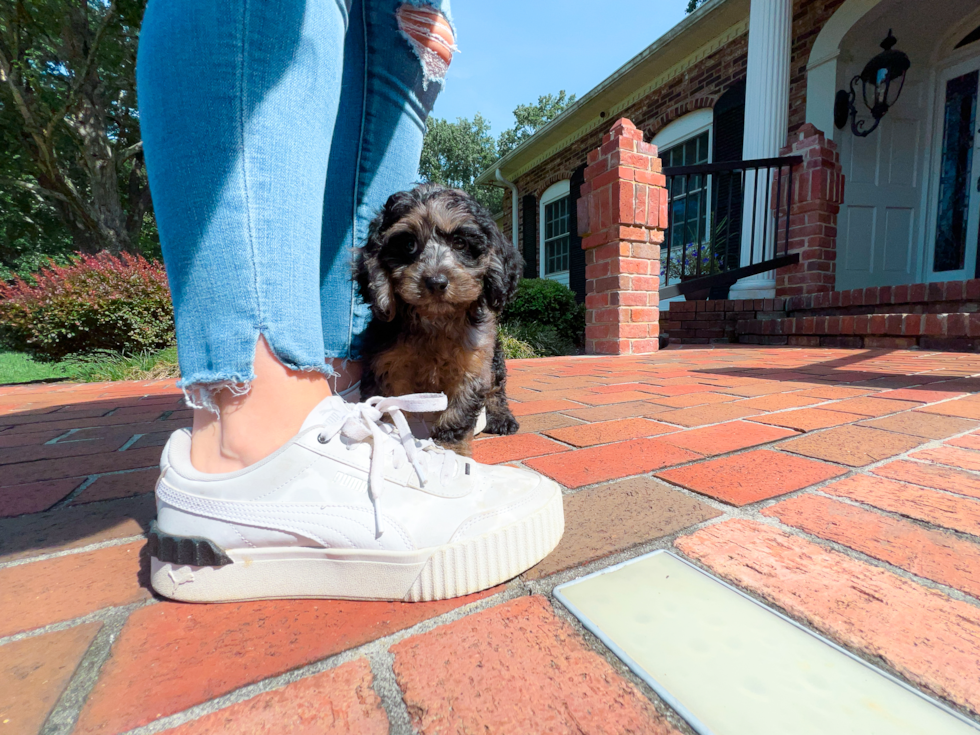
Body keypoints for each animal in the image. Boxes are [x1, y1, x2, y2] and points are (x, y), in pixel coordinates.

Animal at [352, 183, 520, 454]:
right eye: (409, 244)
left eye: (460, 243)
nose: (436, 282)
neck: (435, 321)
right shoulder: (385, 363)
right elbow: (389, 404)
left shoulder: (474, 363)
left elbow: (459, 411)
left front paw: (450, 448)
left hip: (495, 357)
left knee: (496, 388)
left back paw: (501, 417)